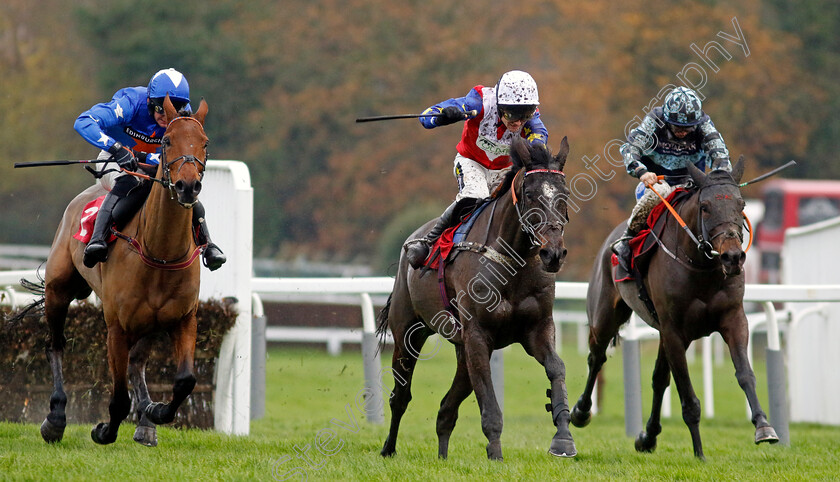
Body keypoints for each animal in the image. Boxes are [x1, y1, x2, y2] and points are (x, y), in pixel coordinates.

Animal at [38, 96, 210, 446]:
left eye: (205, 143)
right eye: (167, 141)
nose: (188, 186)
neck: (159, 252)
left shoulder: (184, 319)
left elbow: (185, 380)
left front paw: (156, 411)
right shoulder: (116, 328)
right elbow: (118, 398)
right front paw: (104, 430)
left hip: (151, 324)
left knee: (137, 363)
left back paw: (146, 421)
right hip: (57, 290)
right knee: (56, 346)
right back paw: (56, 419)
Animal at [376, 136, 576, 460]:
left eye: (564, 195)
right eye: (530, 194)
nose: (553, 253)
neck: (513, 261)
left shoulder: (537, 328)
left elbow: (557, 368)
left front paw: (564, 439)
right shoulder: (478, 335)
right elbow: (488, 400)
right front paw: (495, 453)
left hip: (460, 348)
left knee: (446, 408)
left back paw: (443, 455)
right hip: (409, 333)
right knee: (401, 395)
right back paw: (388, 449)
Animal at [572, 159, 780, 460]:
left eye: (741, 204)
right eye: (705, 206)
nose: (732, 257)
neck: (701, 268)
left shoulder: (733, 320)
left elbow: (745, 374)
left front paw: (764, 427)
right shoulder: (674, 332)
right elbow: (688, 396)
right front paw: (700, 453)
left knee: (658, 379)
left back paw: (647, 437)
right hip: (605, 317)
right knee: (596, 357)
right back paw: (580, 412)